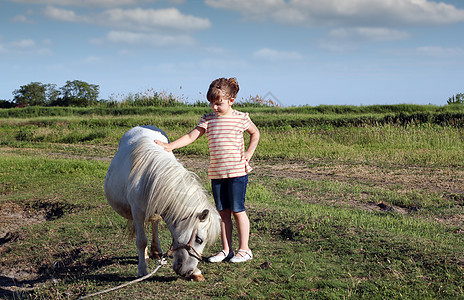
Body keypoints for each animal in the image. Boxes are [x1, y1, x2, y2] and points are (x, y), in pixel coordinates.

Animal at [105, 125, 221, 280]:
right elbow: (141, 241)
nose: (188, 271)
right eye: (199, 240)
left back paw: (155, 250)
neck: (151, 177)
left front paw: (196, 272)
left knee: (154, 224)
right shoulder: (137, 213)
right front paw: (142, 270)